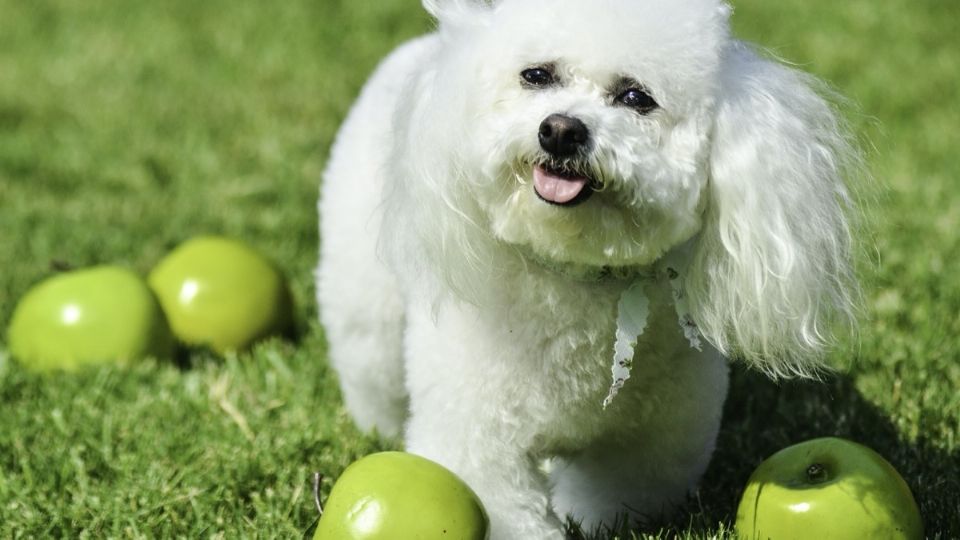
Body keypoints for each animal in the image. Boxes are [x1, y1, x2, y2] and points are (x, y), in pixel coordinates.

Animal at [318, 1, 860, 536]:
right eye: (536, 75)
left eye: (637, 97)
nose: (561, 130)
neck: (574, 273)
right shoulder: (479, 441)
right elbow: (507, 507)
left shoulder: (648, 445)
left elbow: (614, 498)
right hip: (366, 302)